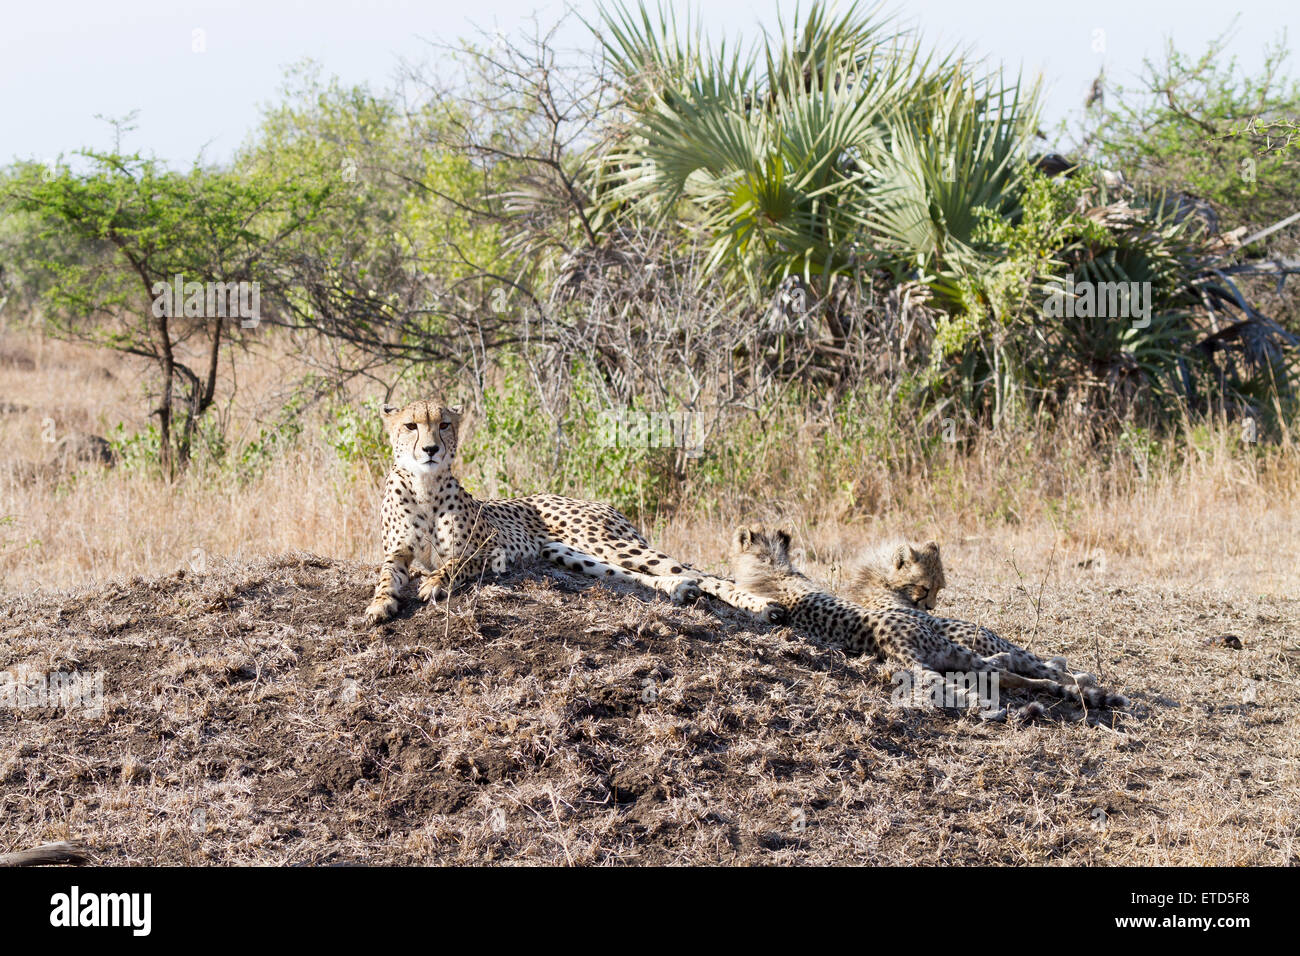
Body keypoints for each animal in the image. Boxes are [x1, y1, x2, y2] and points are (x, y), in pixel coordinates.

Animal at [361, 398, 780, 629]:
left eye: (444, 424)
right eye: (410, 425)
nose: (430, 449)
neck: (424, 485)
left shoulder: (490, 548)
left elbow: (456, 562)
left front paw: (435, 581)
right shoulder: (396, 553)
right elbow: (385, 577)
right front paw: (380, 604)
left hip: (608, 542)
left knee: (706, 575)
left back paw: (764, 607)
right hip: (571, 554)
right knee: (638, 576)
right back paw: (678, 589)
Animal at [733, 528, 1128, 712]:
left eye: (940, 586)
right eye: (925, 587)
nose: (933, 607)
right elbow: (1031, 662)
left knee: (1012, 671)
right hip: (967, 646)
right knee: (1023, 669)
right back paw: (1079, 681)